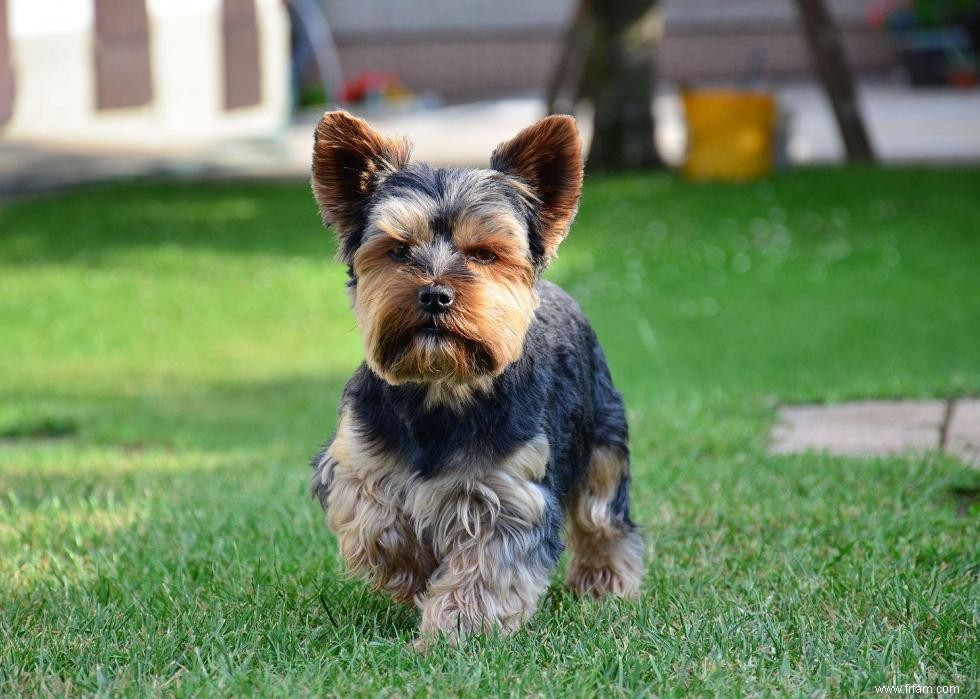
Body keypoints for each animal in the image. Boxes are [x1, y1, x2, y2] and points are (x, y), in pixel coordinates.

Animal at [308, 110, 644, 644]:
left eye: (485, 254)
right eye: (398, 250)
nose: (434, 294)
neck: (442, 387)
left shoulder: (510, 488)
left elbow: (490, 564)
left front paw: (456, 632)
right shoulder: (356, 460)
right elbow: (375, 522)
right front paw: (416, 570)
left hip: (602, 436)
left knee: (603, 515)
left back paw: (605, 583)